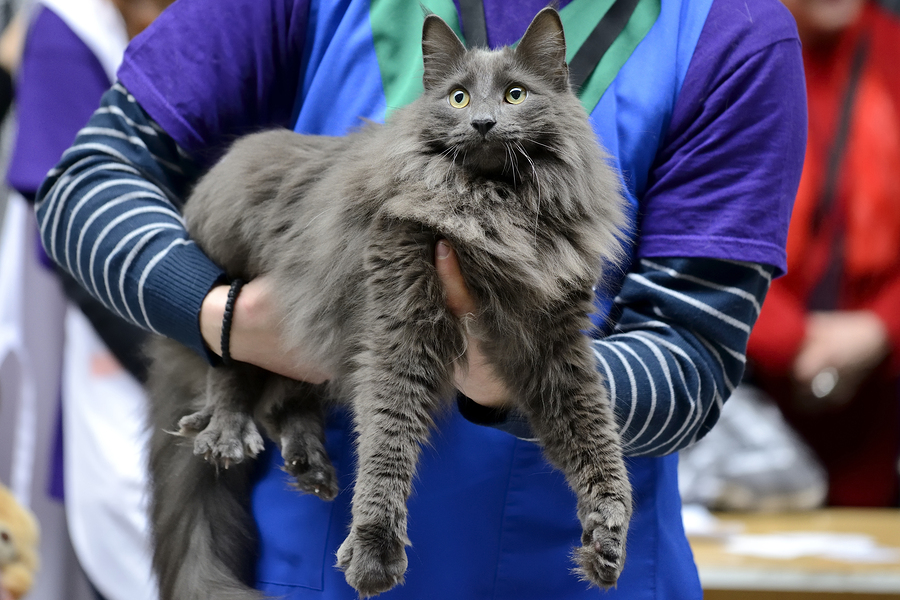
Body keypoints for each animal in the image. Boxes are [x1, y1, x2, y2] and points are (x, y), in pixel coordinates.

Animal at [146, 7, 632, 596]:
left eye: (515, 95)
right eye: (459, 98)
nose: (484, 123)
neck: (494, 204)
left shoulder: (556, 338)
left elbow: (593, 432)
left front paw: (607, 532)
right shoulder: (401, 317)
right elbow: (388, 433)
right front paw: (374, 545)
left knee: (285, 400)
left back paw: (309, 463)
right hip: (236, 266)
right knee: (230, 364)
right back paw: (228, 431)